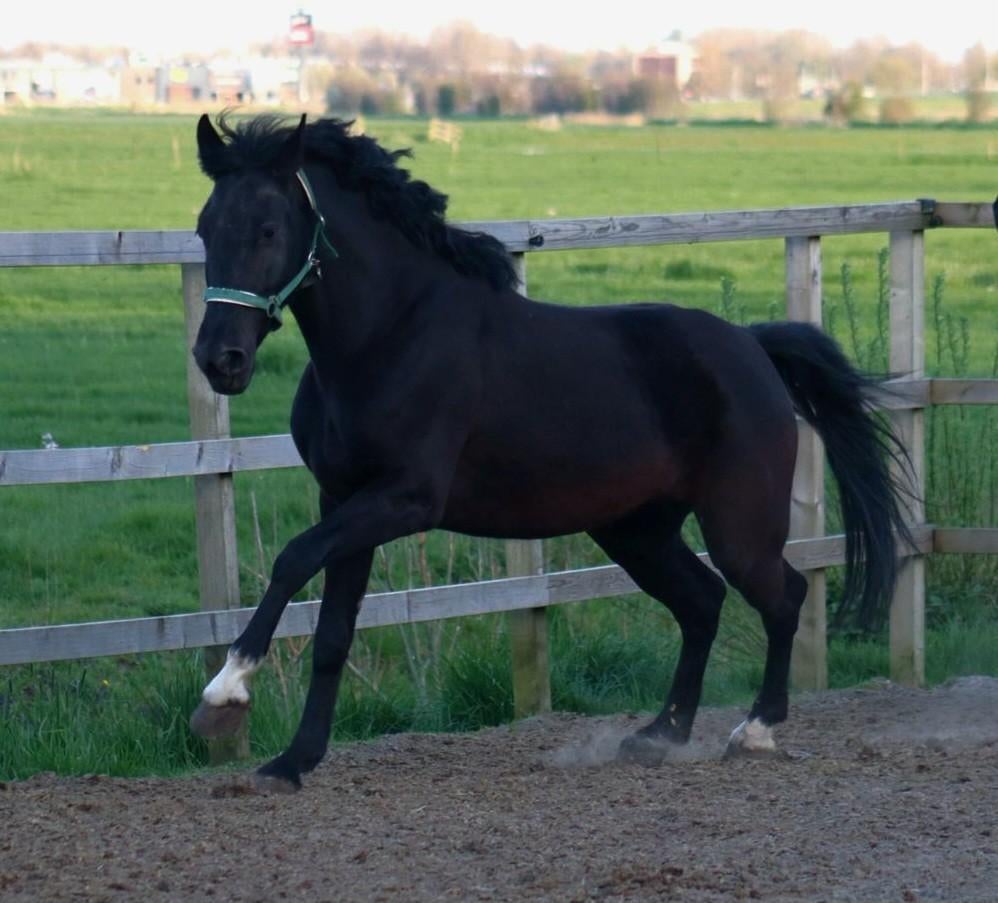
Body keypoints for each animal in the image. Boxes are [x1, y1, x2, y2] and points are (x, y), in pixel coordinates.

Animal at [188, 113, 911, 792]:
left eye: (268, 230)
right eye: (204, 229)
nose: (220, 359)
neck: (391, 334)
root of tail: (752, 344)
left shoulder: (404, 498)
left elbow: (292, 558)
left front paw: (224, 694)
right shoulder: (342, 497)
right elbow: (333, 632)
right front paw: (293, 761)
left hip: (739, 526)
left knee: (782, 596)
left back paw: (754, 730)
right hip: (636, 530)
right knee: (703, 600)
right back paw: (659, 733)